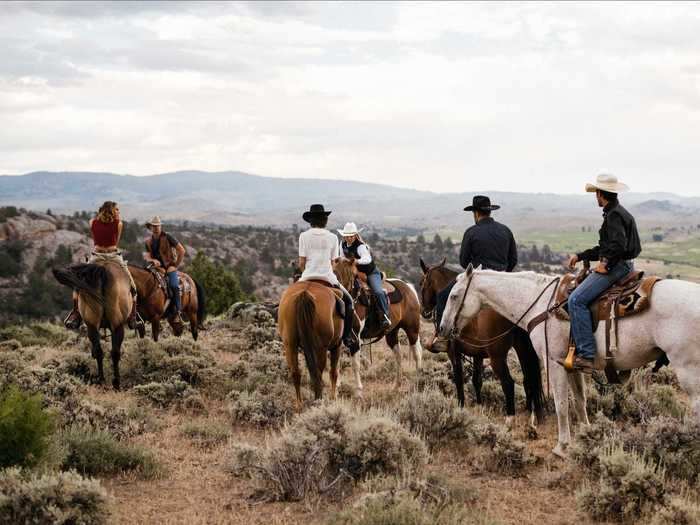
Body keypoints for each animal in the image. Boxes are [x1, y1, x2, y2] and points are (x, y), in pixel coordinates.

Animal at [278, 278, 346, 410]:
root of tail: (304, 293)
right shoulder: (337, 345)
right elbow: (333, 372)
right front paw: (333, 397)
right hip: (321, 348)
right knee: (318, 374)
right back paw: (319, 400)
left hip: (290, 345)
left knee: (296, 373)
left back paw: (299, 404)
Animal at [334, 258, 422, 392]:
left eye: (351, 275)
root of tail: (409, 287)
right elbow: (336, 362)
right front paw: (337, 385)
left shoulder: (356, 338)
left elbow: (355, 364)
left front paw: (359, 389)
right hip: (392, 333)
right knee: (398, 357)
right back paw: (396, 386)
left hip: (412, 329)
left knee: (417, 354)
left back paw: (417, 382)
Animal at [418, 258, 544, 426]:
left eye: (422, 283)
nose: (424, 311)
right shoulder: (477, 354)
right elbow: (476, 380)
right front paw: (479, 404)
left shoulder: (453, 352)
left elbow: (459, 378)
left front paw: (460, 406)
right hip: (522, 349)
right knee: (528, 379)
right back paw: (530, 411)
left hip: (497, 356)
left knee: (508, 383)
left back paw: (510, 417)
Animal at [440, 264, 700, 456]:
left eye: (453, 296)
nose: (442, 328)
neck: (540, 303)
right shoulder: (572, 366)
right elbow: (579, 402)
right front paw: (587, 435)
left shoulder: (554, 363)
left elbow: (561, 405)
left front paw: (562, 446)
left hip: (688, 370)